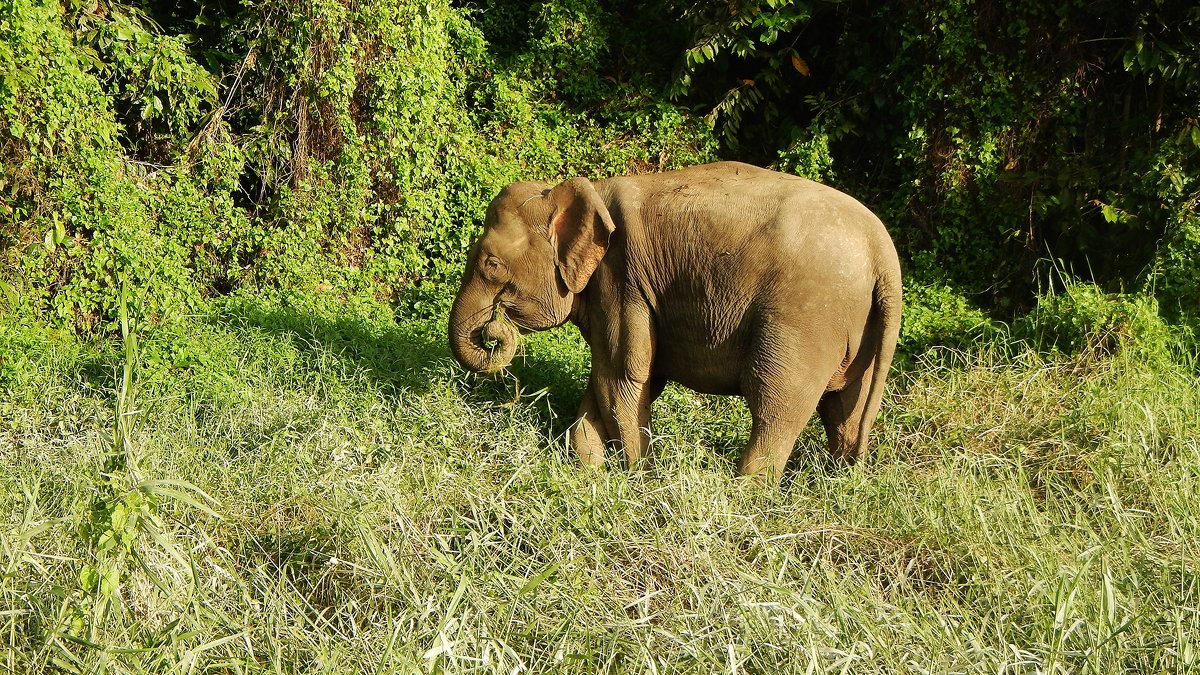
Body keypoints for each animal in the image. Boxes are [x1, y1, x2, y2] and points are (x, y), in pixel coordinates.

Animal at [451, 159, 902, 480]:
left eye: (491, 263)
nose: (493, 329)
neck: (580, 189)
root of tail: (883, 252)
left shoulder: (622, 279)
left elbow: (624, 376)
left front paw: (636, 477)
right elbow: (609, 378)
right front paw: (589, 470)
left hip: (805, 317)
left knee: (775, 405)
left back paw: (745, 498)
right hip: (859, 330)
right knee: (845, 409)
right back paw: (836, 483)